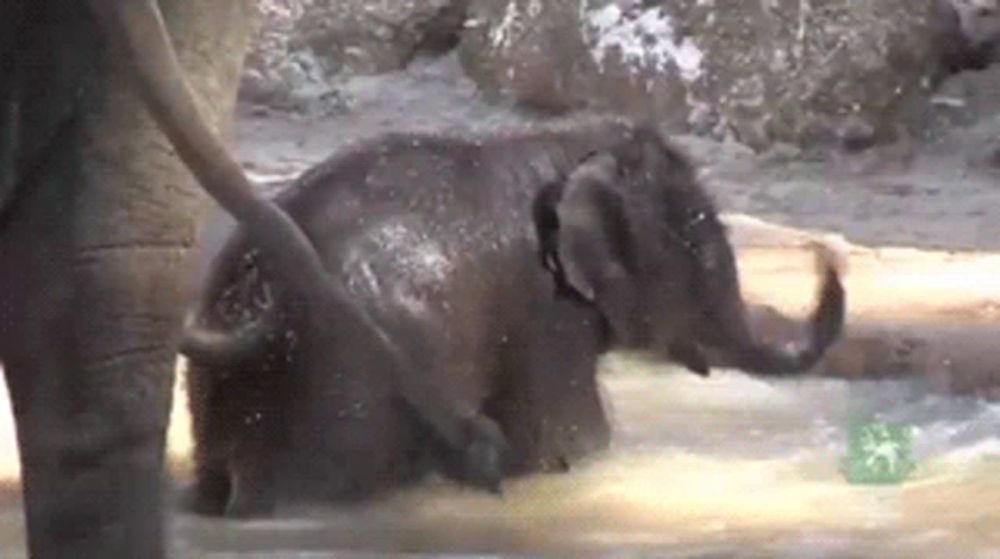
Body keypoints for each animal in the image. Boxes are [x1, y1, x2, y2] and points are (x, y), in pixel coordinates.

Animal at [182, 116, 844, 520]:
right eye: (702, 250)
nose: (825, 253)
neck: (568, 142)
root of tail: (257, 298)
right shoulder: (543, 312)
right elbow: (571, 443)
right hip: (346, 380)